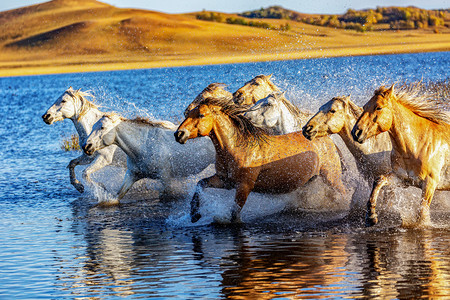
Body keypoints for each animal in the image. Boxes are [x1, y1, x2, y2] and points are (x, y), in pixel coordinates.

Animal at [82, 112, 216, 204]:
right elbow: (116, 196)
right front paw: (101, 189)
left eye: (102, 127)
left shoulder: (165, 177)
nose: (86, 146)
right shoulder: (132, 175)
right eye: (93, 126)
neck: (144, 147)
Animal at [174, 96, 346, 223]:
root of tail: (327, 139)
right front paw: (195, 215)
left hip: (332, 178)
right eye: (188, 115)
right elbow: (200, 184)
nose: (179, 134)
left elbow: (234, 214)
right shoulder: (225, 181)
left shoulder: (244, 186)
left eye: (201, 115)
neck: (237, 148)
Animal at [352, 83, 450, 226]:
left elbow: (422, 214)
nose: (356, 132)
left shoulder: (429, 184)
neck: (418, 144)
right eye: (365, 106)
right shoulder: (401, 179)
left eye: (378, 107)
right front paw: (371, 216)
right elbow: (379, 180)